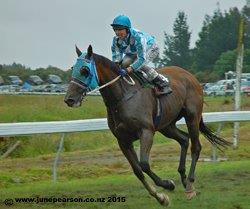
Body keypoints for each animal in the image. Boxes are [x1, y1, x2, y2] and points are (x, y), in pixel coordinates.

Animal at [64, 45, 230, 207]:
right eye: (73, 68)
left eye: (84, 70)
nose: (69, 99)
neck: (122, 97)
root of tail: (191, 76)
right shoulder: (123, 140)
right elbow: (137, 170)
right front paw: (161, 196)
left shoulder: (146, 131)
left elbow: (144, 164)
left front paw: (167, 185)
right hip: (166, 125)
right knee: (184, 139)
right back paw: (183, 178)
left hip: (192, 117)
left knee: (196, 147)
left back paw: (189, 185)